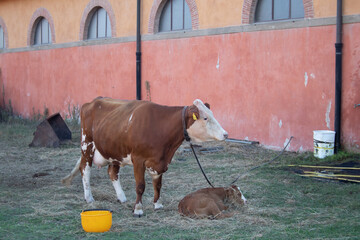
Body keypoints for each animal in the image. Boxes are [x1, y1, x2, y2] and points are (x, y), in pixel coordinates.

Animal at [60, 97, 226, 216]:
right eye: (205, 118)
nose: (225, 134)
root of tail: (93, 101)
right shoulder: (138, 159)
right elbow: (140, 186)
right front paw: (138, 209)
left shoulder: (159, 161)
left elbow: (158, 185)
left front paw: (157, 204)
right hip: (87, 145)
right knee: (85, 170)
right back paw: (89, 198)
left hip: (114, 151)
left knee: (112, 172)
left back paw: (122, 197)